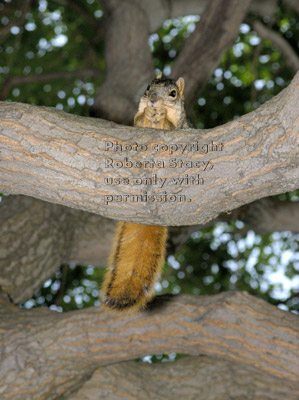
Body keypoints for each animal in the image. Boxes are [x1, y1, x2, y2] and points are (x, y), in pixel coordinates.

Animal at [102, 72, 189, 312]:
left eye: (173, 93)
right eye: (148, 87)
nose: (152, 100)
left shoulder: (180, 127)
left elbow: (171, 126)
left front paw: (161, 115)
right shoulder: (137, 121)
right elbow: (138, 120)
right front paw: (147, 114)